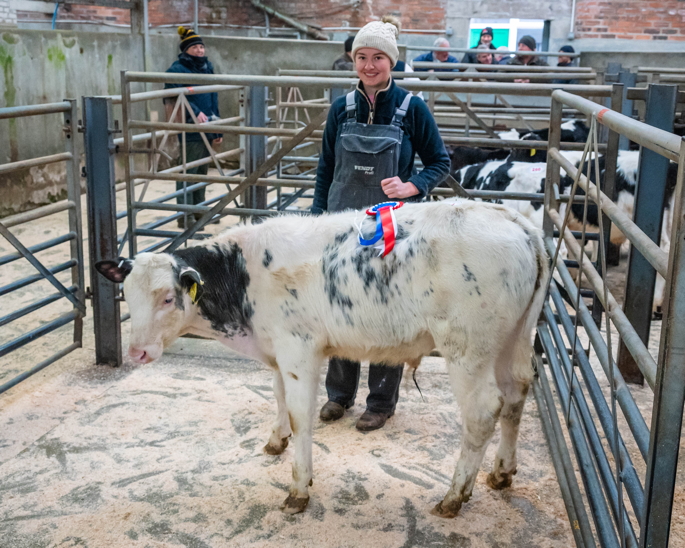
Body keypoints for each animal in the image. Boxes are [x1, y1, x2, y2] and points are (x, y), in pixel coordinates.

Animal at [96, 200, 548, 520]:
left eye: (167, 298)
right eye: (127, 296)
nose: (136, 351)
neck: (243, 276)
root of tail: (515, 219)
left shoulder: (299, 348)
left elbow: (301, 414)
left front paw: (299, 488)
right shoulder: (279, 354)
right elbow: (278, 397)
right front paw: (276, 441)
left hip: (467, 348)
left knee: (483, 412)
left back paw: (454, 497)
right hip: (511, 341)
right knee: (516, 395)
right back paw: (501, 473)